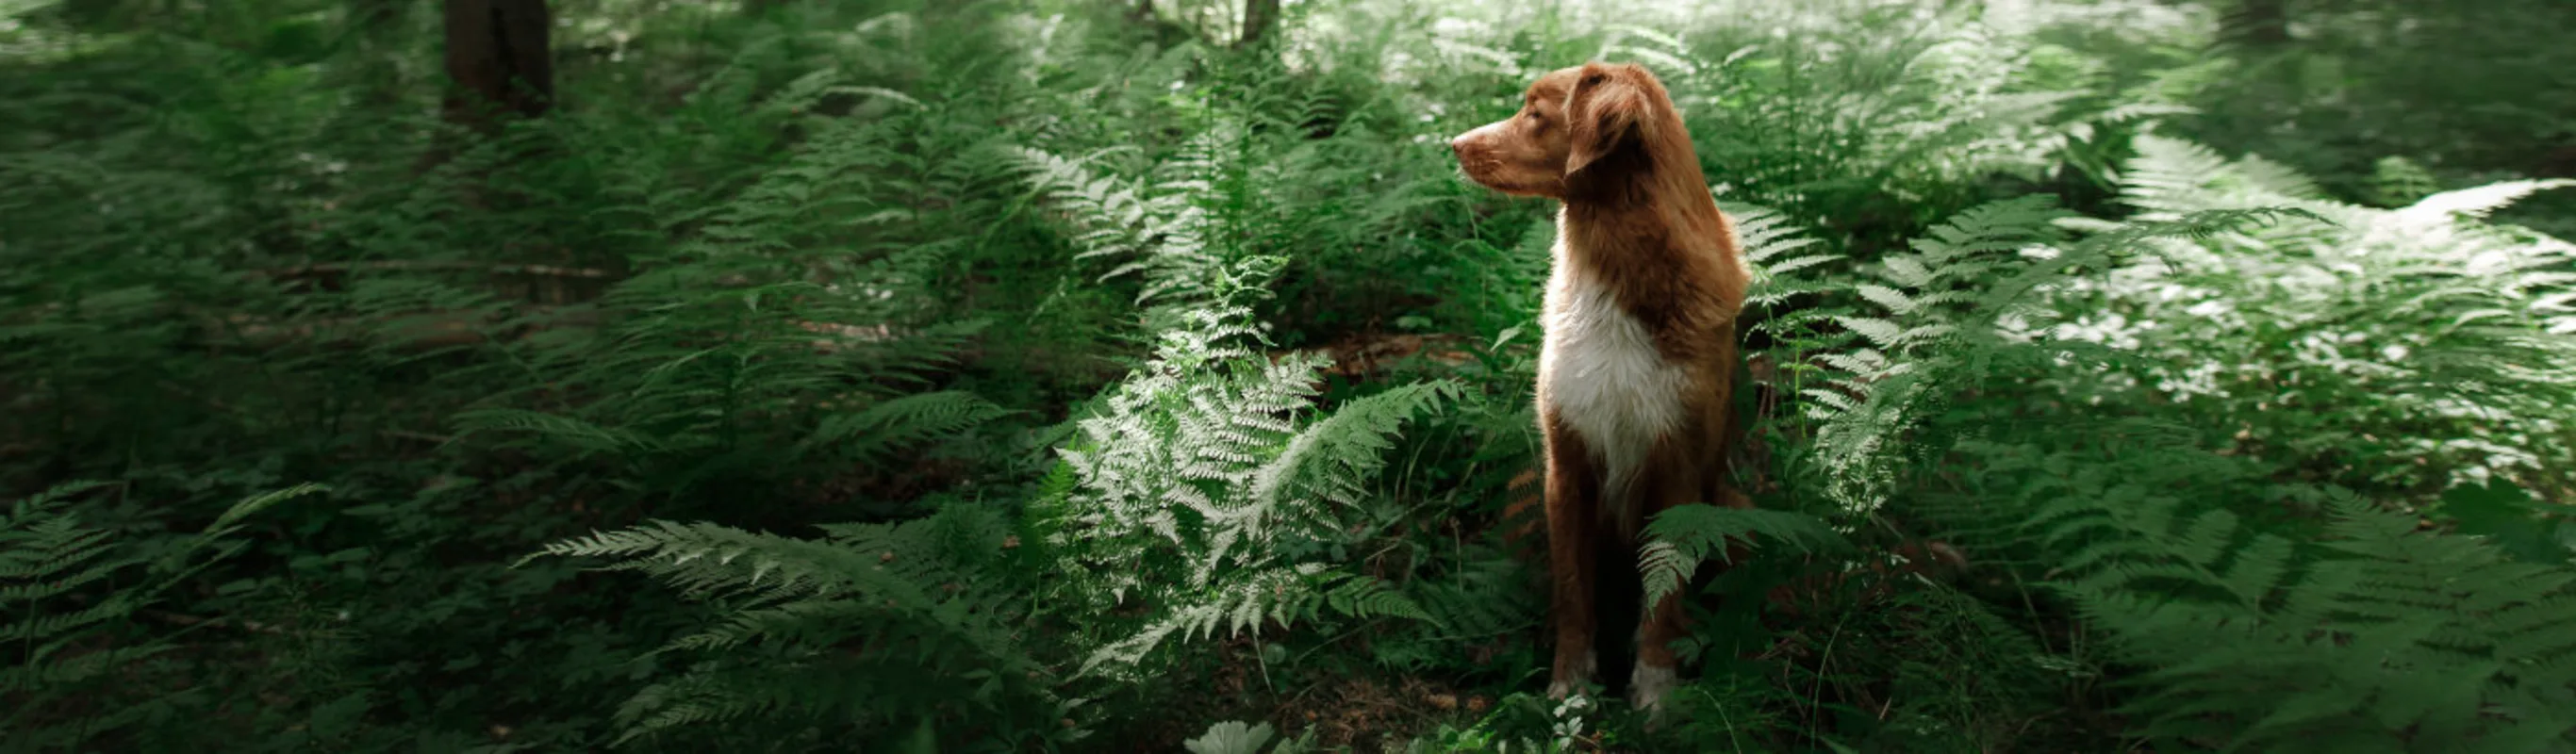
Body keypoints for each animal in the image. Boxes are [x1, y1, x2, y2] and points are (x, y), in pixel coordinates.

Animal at [1452, 62, 1751, 710]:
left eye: (1535, 113)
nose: (1454, 144)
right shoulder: (1566, 465)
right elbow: (1572, 590)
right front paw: (1571, 684)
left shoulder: (1679, 466)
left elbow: (1665, 593)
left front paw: (1657, 686)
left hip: (1735, 511)